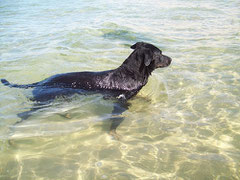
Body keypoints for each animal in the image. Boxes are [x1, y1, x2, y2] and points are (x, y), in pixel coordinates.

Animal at [0, 42, 172, 139]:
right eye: (160, 54)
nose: (171, 59)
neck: (130, 73)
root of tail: (41, 82)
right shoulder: (120, 102)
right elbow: (115, 119)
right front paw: (113, 133)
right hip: (42, 101)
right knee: (22, 116)